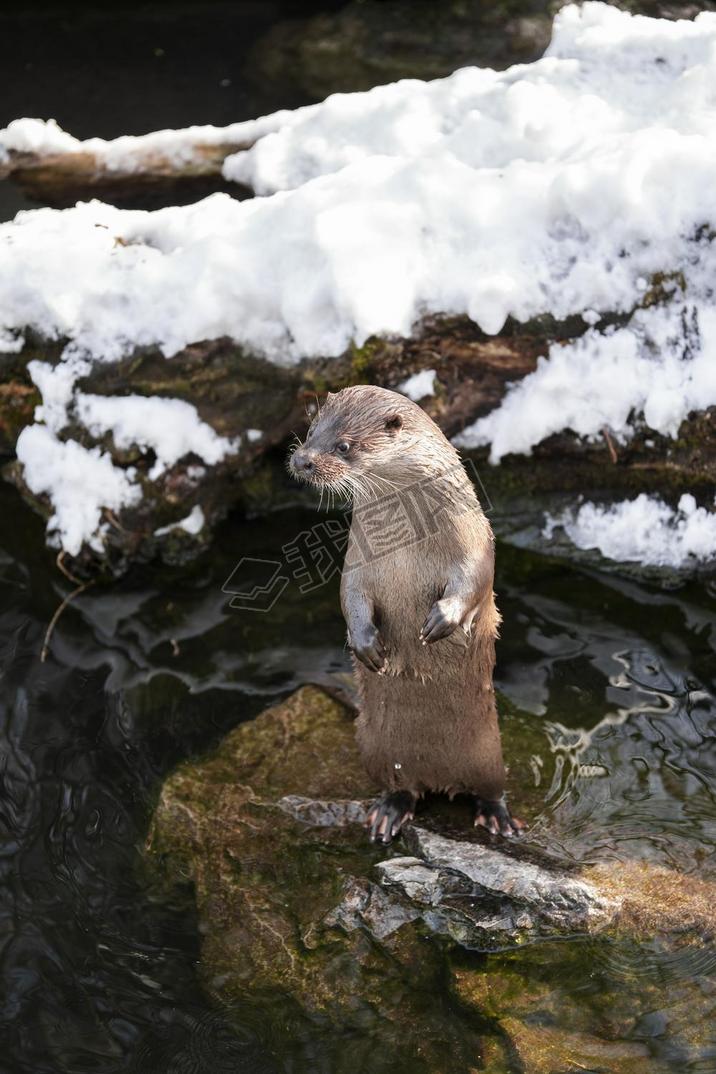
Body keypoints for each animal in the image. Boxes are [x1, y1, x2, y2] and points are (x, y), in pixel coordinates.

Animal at [287, 386, 523, 846]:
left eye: (344, 445)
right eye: (311, 431)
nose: (302, 459)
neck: (404, 542)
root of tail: (440, 780)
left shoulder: (472, 537)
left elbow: (475, 576)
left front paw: (442, 620)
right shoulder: (358, 561)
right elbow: (350, 594)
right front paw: (366, 646)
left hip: (489, 753)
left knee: (491, 788)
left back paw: (497, 817)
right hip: (377, 751)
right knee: (402, 786)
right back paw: (389, 812)